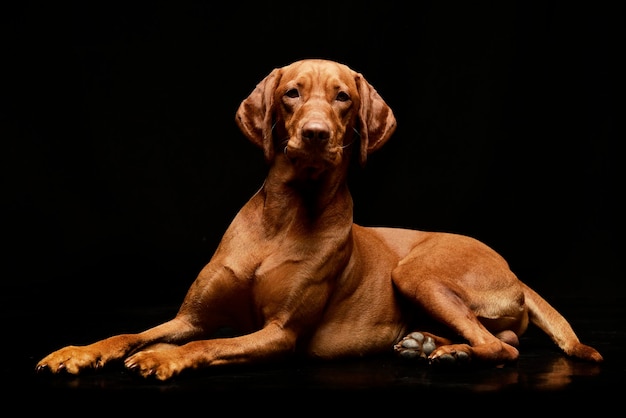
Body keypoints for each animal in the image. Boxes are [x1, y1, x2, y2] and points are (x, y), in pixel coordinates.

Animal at [34, 58, 600, 382]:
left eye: (342, 97)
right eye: (292, 93)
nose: (314, 134)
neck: (282, 220)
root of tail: (515, 272)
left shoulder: (280, 334)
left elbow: (209, 343)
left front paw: (164, 358)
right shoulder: (188, 317)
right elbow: (131, 332)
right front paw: (80, 351)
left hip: (416, 271)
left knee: (499, 348)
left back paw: (452, 355)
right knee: (502, 339)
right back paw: (429, 345)